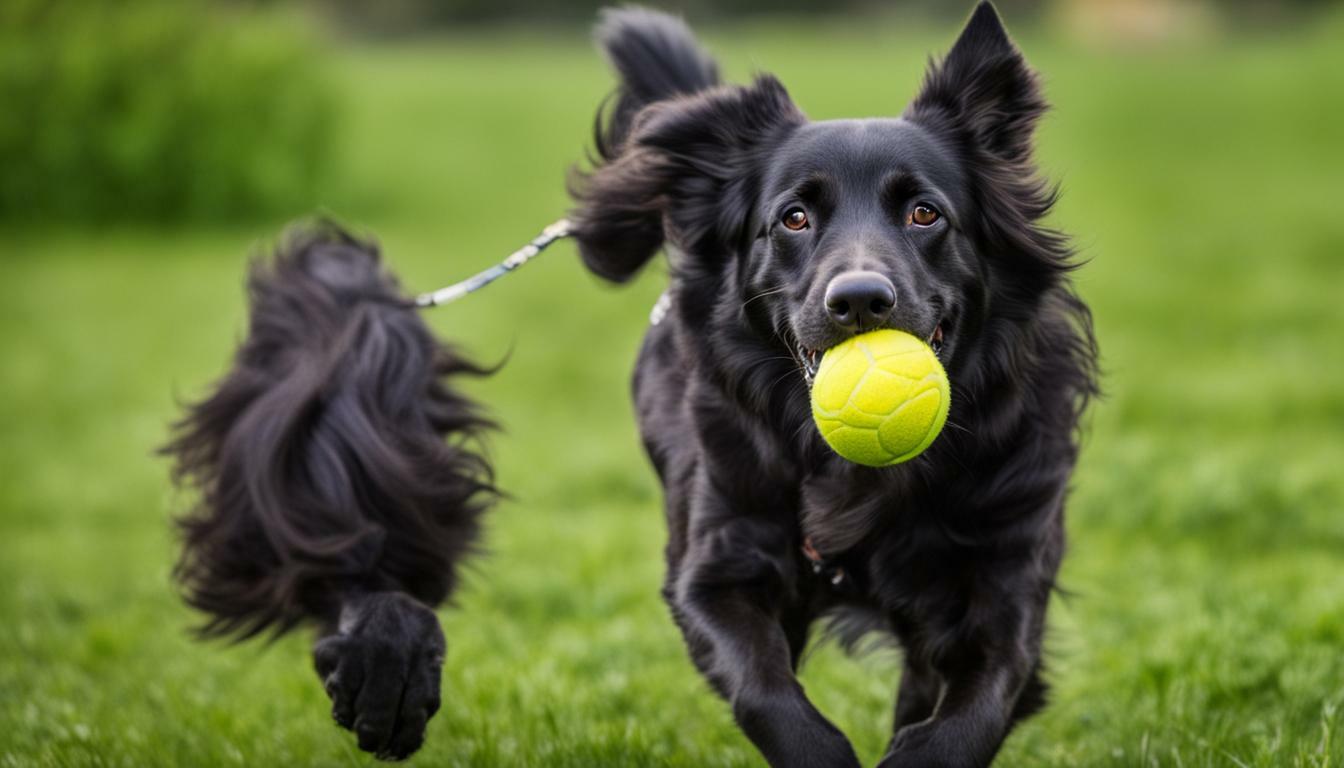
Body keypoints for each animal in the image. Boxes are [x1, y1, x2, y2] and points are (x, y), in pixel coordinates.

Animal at [572, 3, 1096, 763]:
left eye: (925, 212)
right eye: (794, 217)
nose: (859, 300)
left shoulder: (1006, 580)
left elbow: (972, 712)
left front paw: (917, 750)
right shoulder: (715, 569)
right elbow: (767, 695)